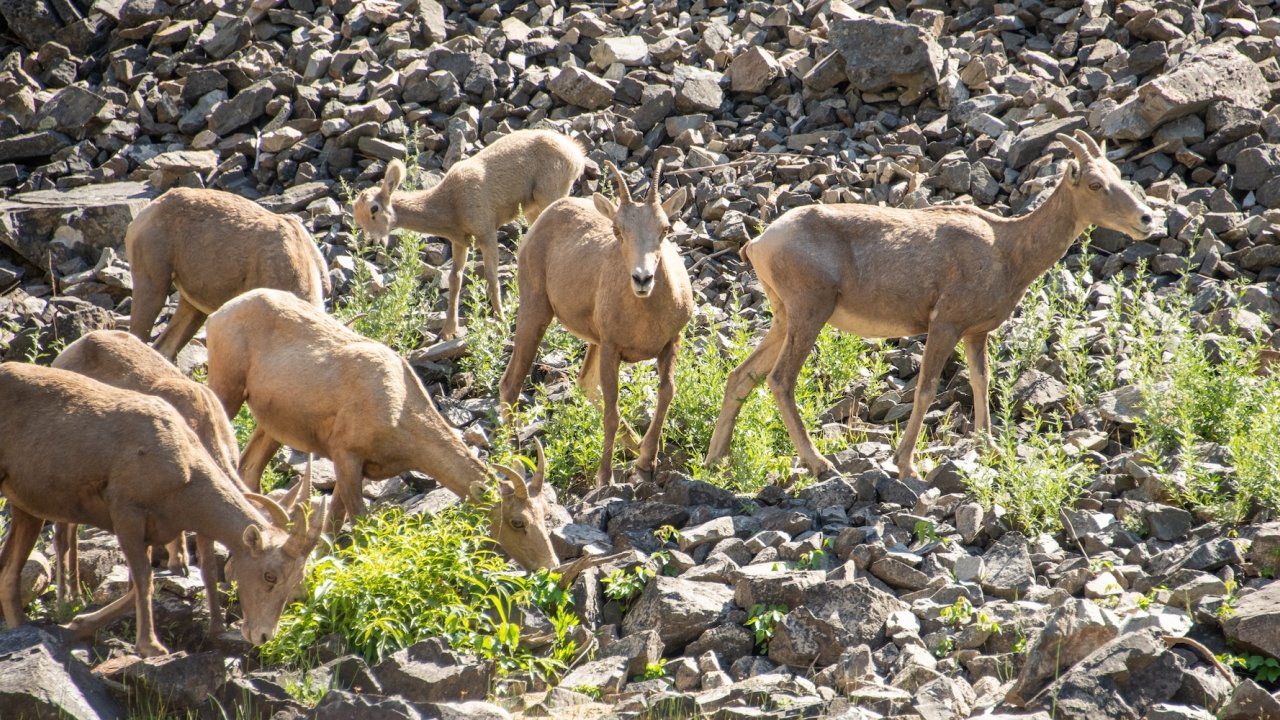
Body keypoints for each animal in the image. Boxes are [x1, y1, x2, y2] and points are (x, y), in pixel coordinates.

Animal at [0, 362, 326, 657]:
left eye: (295, 581)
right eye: (269, 576)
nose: (262, 635)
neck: (184, 470)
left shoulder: (152, 532)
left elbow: (138, 587)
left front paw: (77, 626)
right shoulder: (127, 516)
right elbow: (145, 581)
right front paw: (151, 647)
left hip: (27, 510)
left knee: (9, 571)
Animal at [204, 288, 559, 571]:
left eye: (545, 513)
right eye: (517, 521)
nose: (551, 566)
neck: (397, 409)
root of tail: (218, 315)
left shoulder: (354, 467)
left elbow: (333, 525)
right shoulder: (346, 456)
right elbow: (358, 525)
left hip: (271, 426)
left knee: (248, 469)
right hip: (226, 390)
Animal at [351, 128, 585, 340]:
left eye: (374, 208)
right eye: (356, 216)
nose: (372, 241)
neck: (451, 206)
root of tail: (576, 154)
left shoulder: (487, 232)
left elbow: (491, 276)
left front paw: (500, 321)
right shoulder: (459, 242)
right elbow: (455, 279)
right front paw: (448, 331)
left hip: (550, 194)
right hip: (532, 209)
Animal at [498, 161, 693, 488]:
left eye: (664, 228)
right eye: (618, 230)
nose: (642, 279)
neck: (646, 317)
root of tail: (547, 215)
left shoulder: (670, 342)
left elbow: (667, 393)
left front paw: (645, 464)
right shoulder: (613, 349)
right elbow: (611, 411)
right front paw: (605, 478)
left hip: (592, 341)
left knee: (585, 384)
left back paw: (637, 445)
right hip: (535, 312)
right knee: (510, 384)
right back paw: (515, 461)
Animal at [705, 131, 1158, 480]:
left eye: (1118, 176)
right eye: (1095, 184)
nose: (1147, 219)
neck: (1006, 250)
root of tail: (760, 243)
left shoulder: (975, 334)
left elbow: (980, 381)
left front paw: (989, 447)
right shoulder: (944, 326)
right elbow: (925, 390)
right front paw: (907, 465)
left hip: (784, 319)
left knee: (741, 376)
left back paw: (715, 461)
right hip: (809, 314)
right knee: (780, 380)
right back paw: (820, 464)